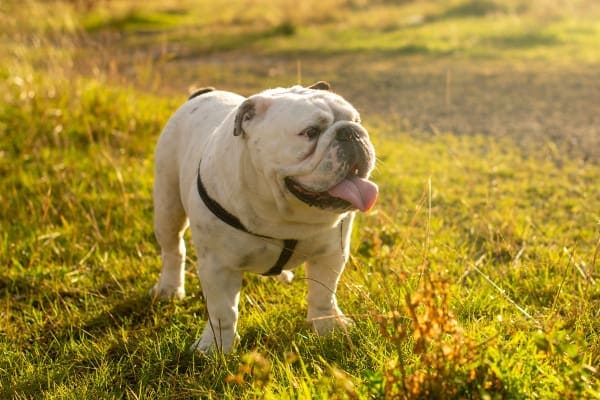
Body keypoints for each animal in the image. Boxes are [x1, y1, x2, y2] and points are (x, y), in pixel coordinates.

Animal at [150, 82, 376, 354]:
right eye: (310, 132)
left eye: (357, 120)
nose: (352, 132)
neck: (281, 214)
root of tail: (204, 93)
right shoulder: (218, 266)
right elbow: (223, 312)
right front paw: (217, 347)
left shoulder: (330, 254)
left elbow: (323, 293)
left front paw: (328, 327)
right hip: (167, 205)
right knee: (173, 249)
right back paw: (170, 289)